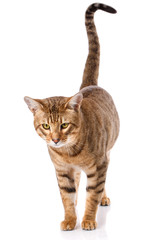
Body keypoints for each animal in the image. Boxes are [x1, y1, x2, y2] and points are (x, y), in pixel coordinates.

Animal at [24, 1, 119, 231]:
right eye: (46, 126)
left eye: (65, 125)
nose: (55, 140)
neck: (70, 153)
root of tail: (89, 86)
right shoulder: (62, 170)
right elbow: (66, 196)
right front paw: (70, 218)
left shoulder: (99, 166)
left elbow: (92, 194)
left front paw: (88, 219)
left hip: (107, 153)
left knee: (102, 183)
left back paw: (102, 198)